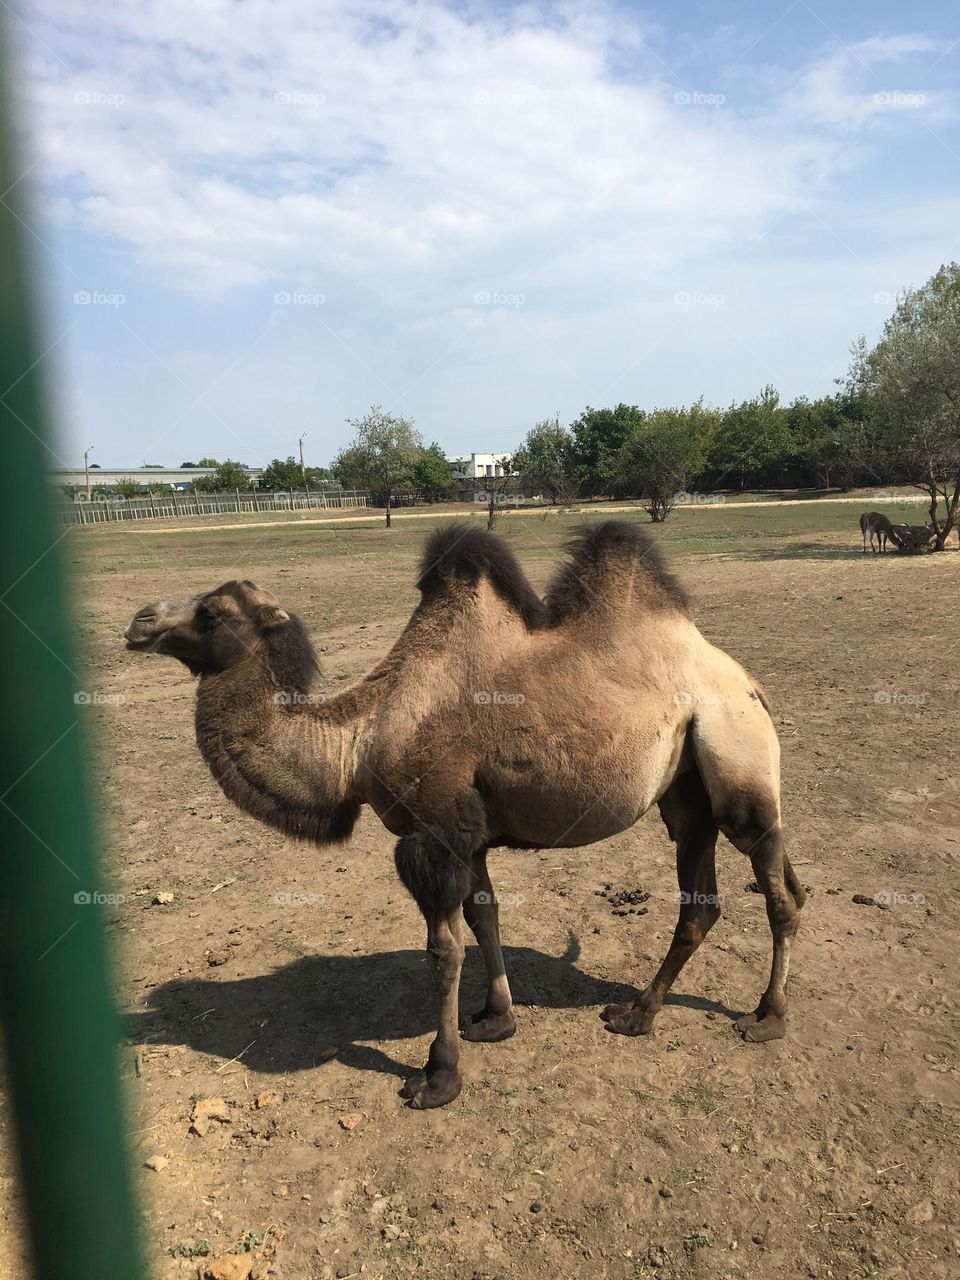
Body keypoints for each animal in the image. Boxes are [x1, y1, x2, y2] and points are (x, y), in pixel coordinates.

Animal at [124, 521, 804, 1109]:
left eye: (212, 612)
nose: (139, 621)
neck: (358, 740)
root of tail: (747, 681)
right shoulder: (468, 836)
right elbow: (484, 917)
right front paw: (496, 1019)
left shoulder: (435, 833)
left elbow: (443, 950)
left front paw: (438, 1074)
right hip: (685, 789)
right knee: (702, 897)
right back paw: (637, 1014)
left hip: (734, 753)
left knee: (776, 885)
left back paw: (766, 1018)